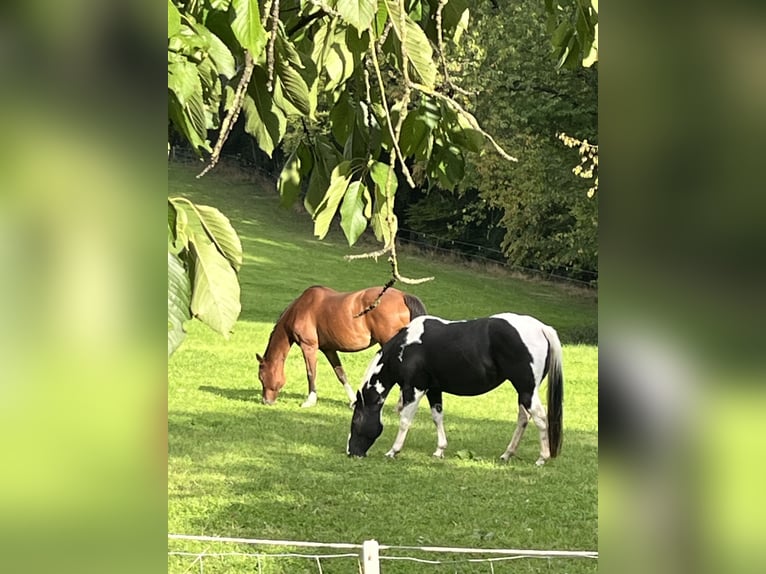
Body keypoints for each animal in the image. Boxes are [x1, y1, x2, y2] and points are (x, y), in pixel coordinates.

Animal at [257, 285, 427, 408]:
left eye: (261, 377)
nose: (266, 401)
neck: (301, 308)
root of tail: (403, 296)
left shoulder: (309, 346)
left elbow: (311, 373)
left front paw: (310, 400)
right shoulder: (329, 349)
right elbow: (341, 374)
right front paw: (353, 401)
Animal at [346, 313, 564, 466]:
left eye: (356, 420)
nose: (351, 452)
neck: (406, 347)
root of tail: (541, 328)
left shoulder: (415, 389)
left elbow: (405, 421)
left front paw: (393, 451)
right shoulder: (433, 389)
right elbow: (437, 417)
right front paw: (439, 450)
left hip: (526, 389)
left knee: (539, 418)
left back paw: (542, 458)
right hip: (524, 391)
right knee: (524, 418)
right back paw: (507, 454)